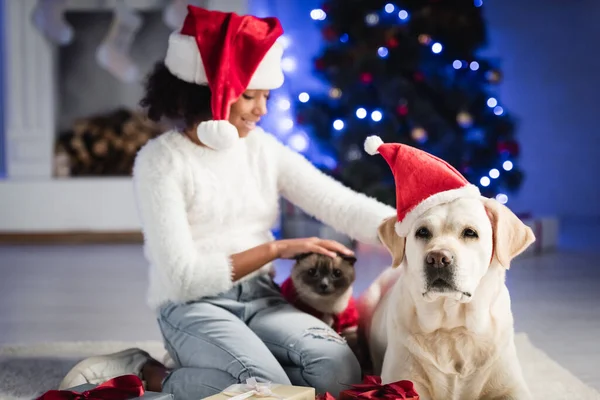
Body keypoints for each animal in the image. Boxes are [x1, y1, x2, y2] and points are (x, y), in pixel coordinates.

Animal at [358, 197, 536, 400]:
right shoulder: (402, 381)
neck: (452, 328)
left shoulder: (512, 387)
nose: (437, 258)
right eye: (422, 231)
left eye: (470, 232)